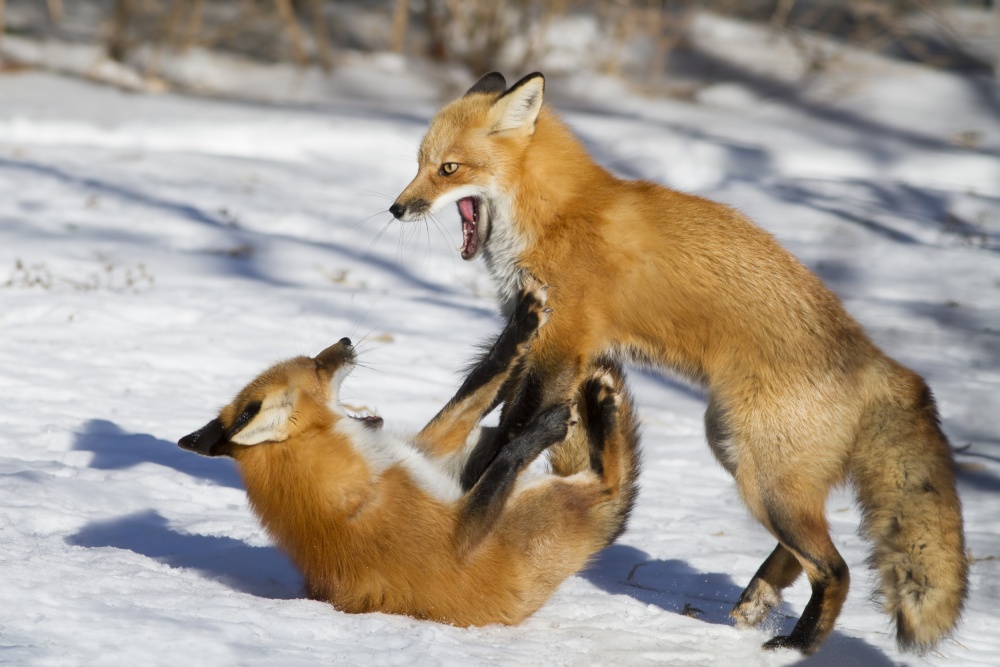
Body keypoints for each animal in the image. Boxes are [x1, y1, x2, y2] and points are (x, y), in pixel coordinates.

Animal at [179, 280, 640, 628]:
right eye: (315, 365)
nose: (345, 340)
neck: (362, 486)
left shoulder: (430, 456)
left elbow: (480, 382)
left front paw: (518, 332)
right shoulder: (460, 539)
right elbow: (509, 453)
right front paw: (541, 422)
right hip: (553, 501)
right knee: (608, 480)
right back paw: (599, 406)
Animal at [390, 72, 968, 652]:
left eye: (449, 169)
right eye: (418, 162)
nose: (397, 209)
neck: (553, 214)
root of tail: (870, 353)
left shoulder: (562, 346)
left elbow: (511, 430)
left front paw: (471, 497)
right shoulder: (538, 340)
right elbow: (489, 395)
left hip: (763, 478)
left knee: (836, 568)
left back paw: (798, 646)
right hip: (739, 451)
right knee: (808, 549)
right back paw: (759, 599)